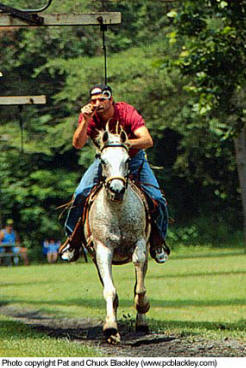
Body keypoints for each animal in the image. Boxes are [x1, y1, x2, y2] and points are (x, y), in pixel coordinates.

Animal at [83, 125, 151, 344]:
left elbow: (139, 284)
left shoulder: (139, 243)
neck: (117, 210)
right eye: (102, 160)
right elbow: (109, 290)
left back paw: (141, 321)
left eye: (127, 160)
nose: (117, 189)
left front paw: (142, 305)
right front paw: (111, 328)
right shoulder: (103, 250)